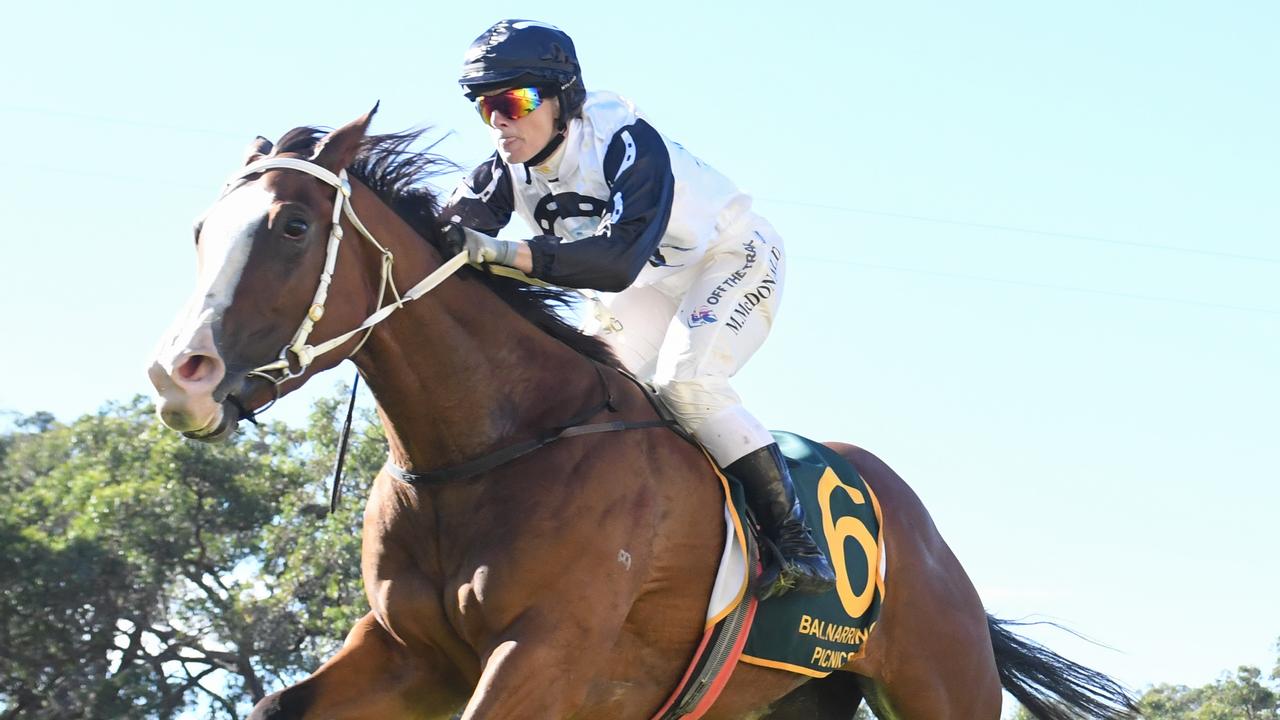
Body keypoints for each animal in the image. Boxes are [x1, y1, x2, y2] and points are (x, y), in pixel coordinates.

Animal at [145, 107, 1136, 717]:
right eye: (199, 230)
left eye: (292, 227)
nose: (178, 376)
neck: (488, 448)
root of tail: (926, 538)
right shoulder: (404, 654)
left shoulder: (544, 655)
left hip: (941, 684)